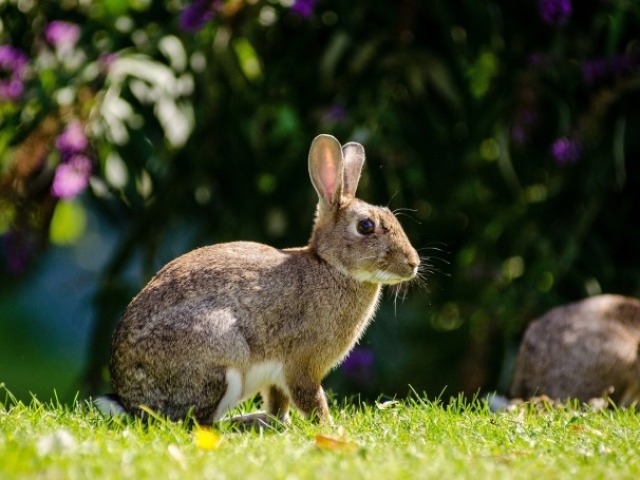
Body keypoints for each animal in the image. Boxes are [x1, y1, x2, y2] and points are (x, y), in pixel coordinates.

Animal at [100, 132, 420, 424]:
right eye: (365, 226)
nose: (413, 263)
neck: (331, 266)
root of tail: (129, 400)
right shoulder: (301, 364)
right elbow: (310, 398)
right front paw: (330, 428)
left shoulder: (278, 377)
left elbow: (278, 400)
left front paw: (280, 422)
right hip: (221, 355)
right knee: (196, 422)